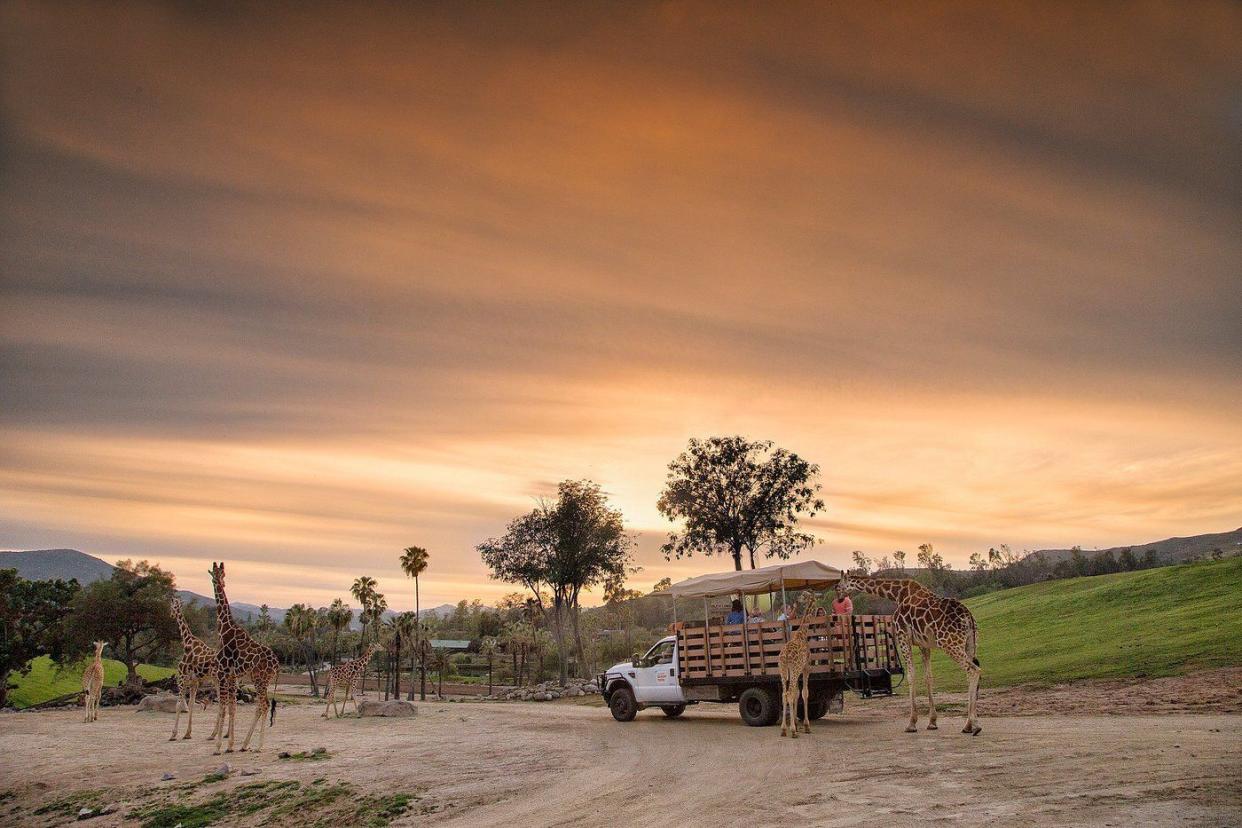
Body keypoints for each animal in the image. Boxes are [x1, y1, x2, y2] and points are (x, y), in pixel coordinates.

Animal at [168, 598, 219, 739]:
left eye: (172, 606)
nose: (171, 615)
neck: (187, 642)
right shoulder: (194, 682)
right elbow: (191, 704)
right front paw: (187, 733)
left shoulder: (181, 678)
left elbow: (179, 704)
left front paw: (173, 734)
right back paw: (223, 734)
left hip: (218, 680)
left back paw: (213, 734)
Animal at [209, 563, 280, 759]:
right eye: (221, 573)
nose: (220, 582)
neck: (224, 628)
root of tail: (277, 665)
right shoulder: (233, 676)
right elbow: (232, 707)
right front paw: (230, 745)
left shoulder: (222, 672)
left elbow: (223, 707)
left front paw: (218, 747)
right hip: (262, 680)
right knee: (262, 706)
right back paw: (245, 745)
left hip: (259, 679)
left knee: (264, 705)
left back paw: (258, 746)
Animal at [775, 588, 814, 739]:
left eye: (803, 595)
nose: (797, 600)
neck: (802, 634)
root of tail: (785, 655)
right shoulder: (805, 668)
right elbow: (804, 693)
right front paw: (806, 726)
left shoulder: (794, 671)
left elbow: (797, 693)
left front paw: (797, 724)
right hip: (795, 669)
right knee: (789, 693)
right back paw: (791, 731)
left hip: (782, 670)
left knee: (784, 694)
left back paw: (783, 729)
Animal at [834, 571, 978, 739]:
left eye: (837, 586)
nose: (839, 598)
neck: (896, 594)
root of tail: (969, 617)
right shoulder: (923, 644)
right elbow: (928, 677)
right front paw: (932, 722)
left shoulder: (903, 636)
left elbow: (911, 676)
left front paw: (911, 723)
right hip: (970, 643)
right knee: (972, 671)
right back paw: (969, 725)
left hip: (949, 643)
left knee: (973, 670)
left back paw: (973, 725)